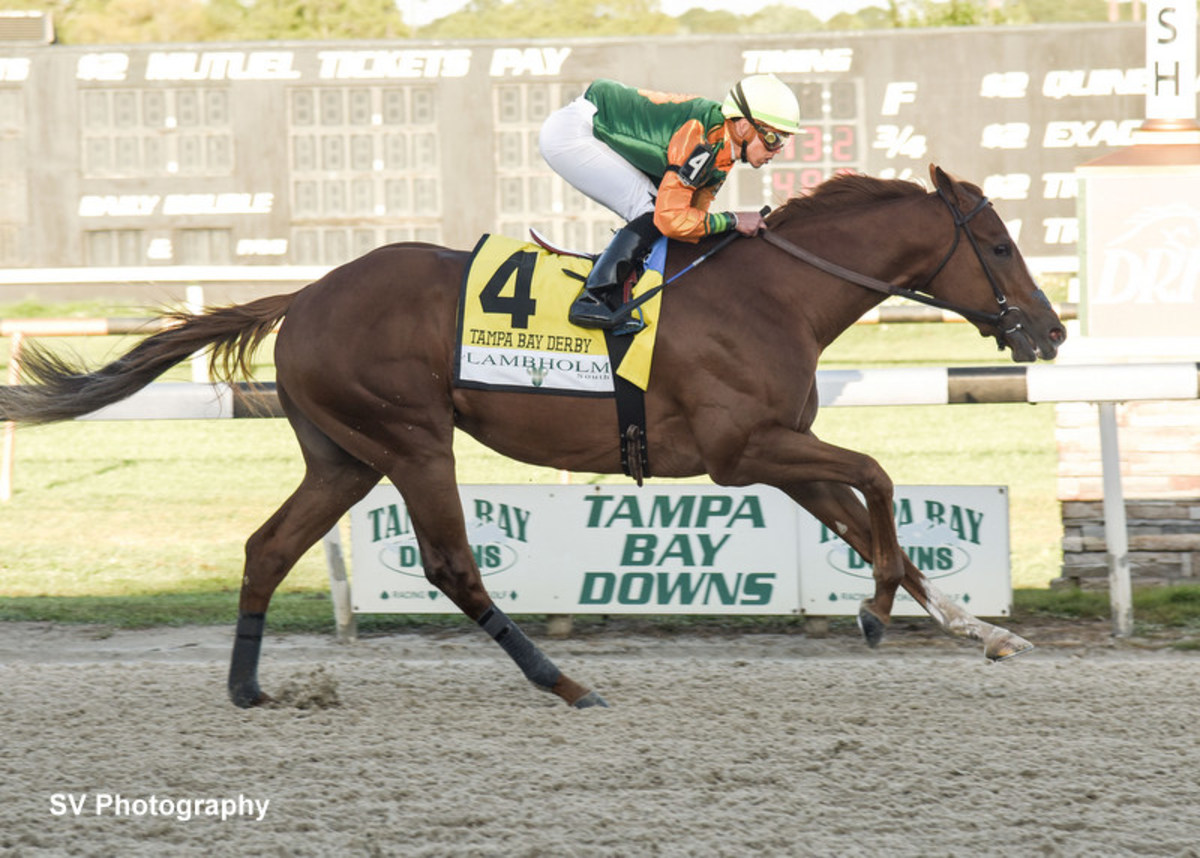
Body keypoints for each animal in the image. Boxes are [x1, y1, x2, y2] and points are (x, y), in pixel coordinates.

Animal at [2, 164, 1070, 710]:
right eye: (1000, 244)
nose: (1051, 332)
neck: (775, 293)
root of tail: (302, 295)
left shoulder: (779, 451)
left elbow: (869, 518)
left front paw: (978, 632)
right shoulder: (743, 452)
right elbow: (880, 478)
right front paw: (879, 610)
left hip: (345, 455)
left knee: (268, 546)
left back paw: (249, 688)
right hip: (412, 439)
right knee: (449, 563)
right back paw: (563, 681)